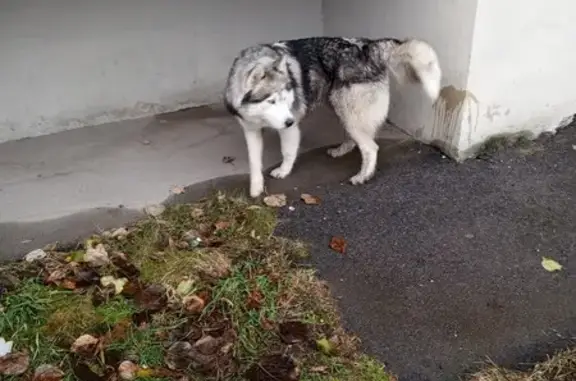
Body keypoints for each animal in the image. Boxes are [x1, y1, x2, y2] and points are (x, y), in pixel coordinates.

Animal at [225, 36, 440, 197]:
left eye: (287, 99)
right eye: (271, 101)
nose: (290, 120)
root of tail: (368, 46)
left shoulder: (289, 130)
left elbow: (287, 152)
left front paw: (283, 172)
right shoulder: (251, 131)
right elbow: (254, 162)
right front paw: (255, 188)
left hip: (348, 113)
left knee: (371, 148)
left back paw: (363, 175)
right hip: (340, 109)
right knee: (358, 140)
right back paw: (341, 150)